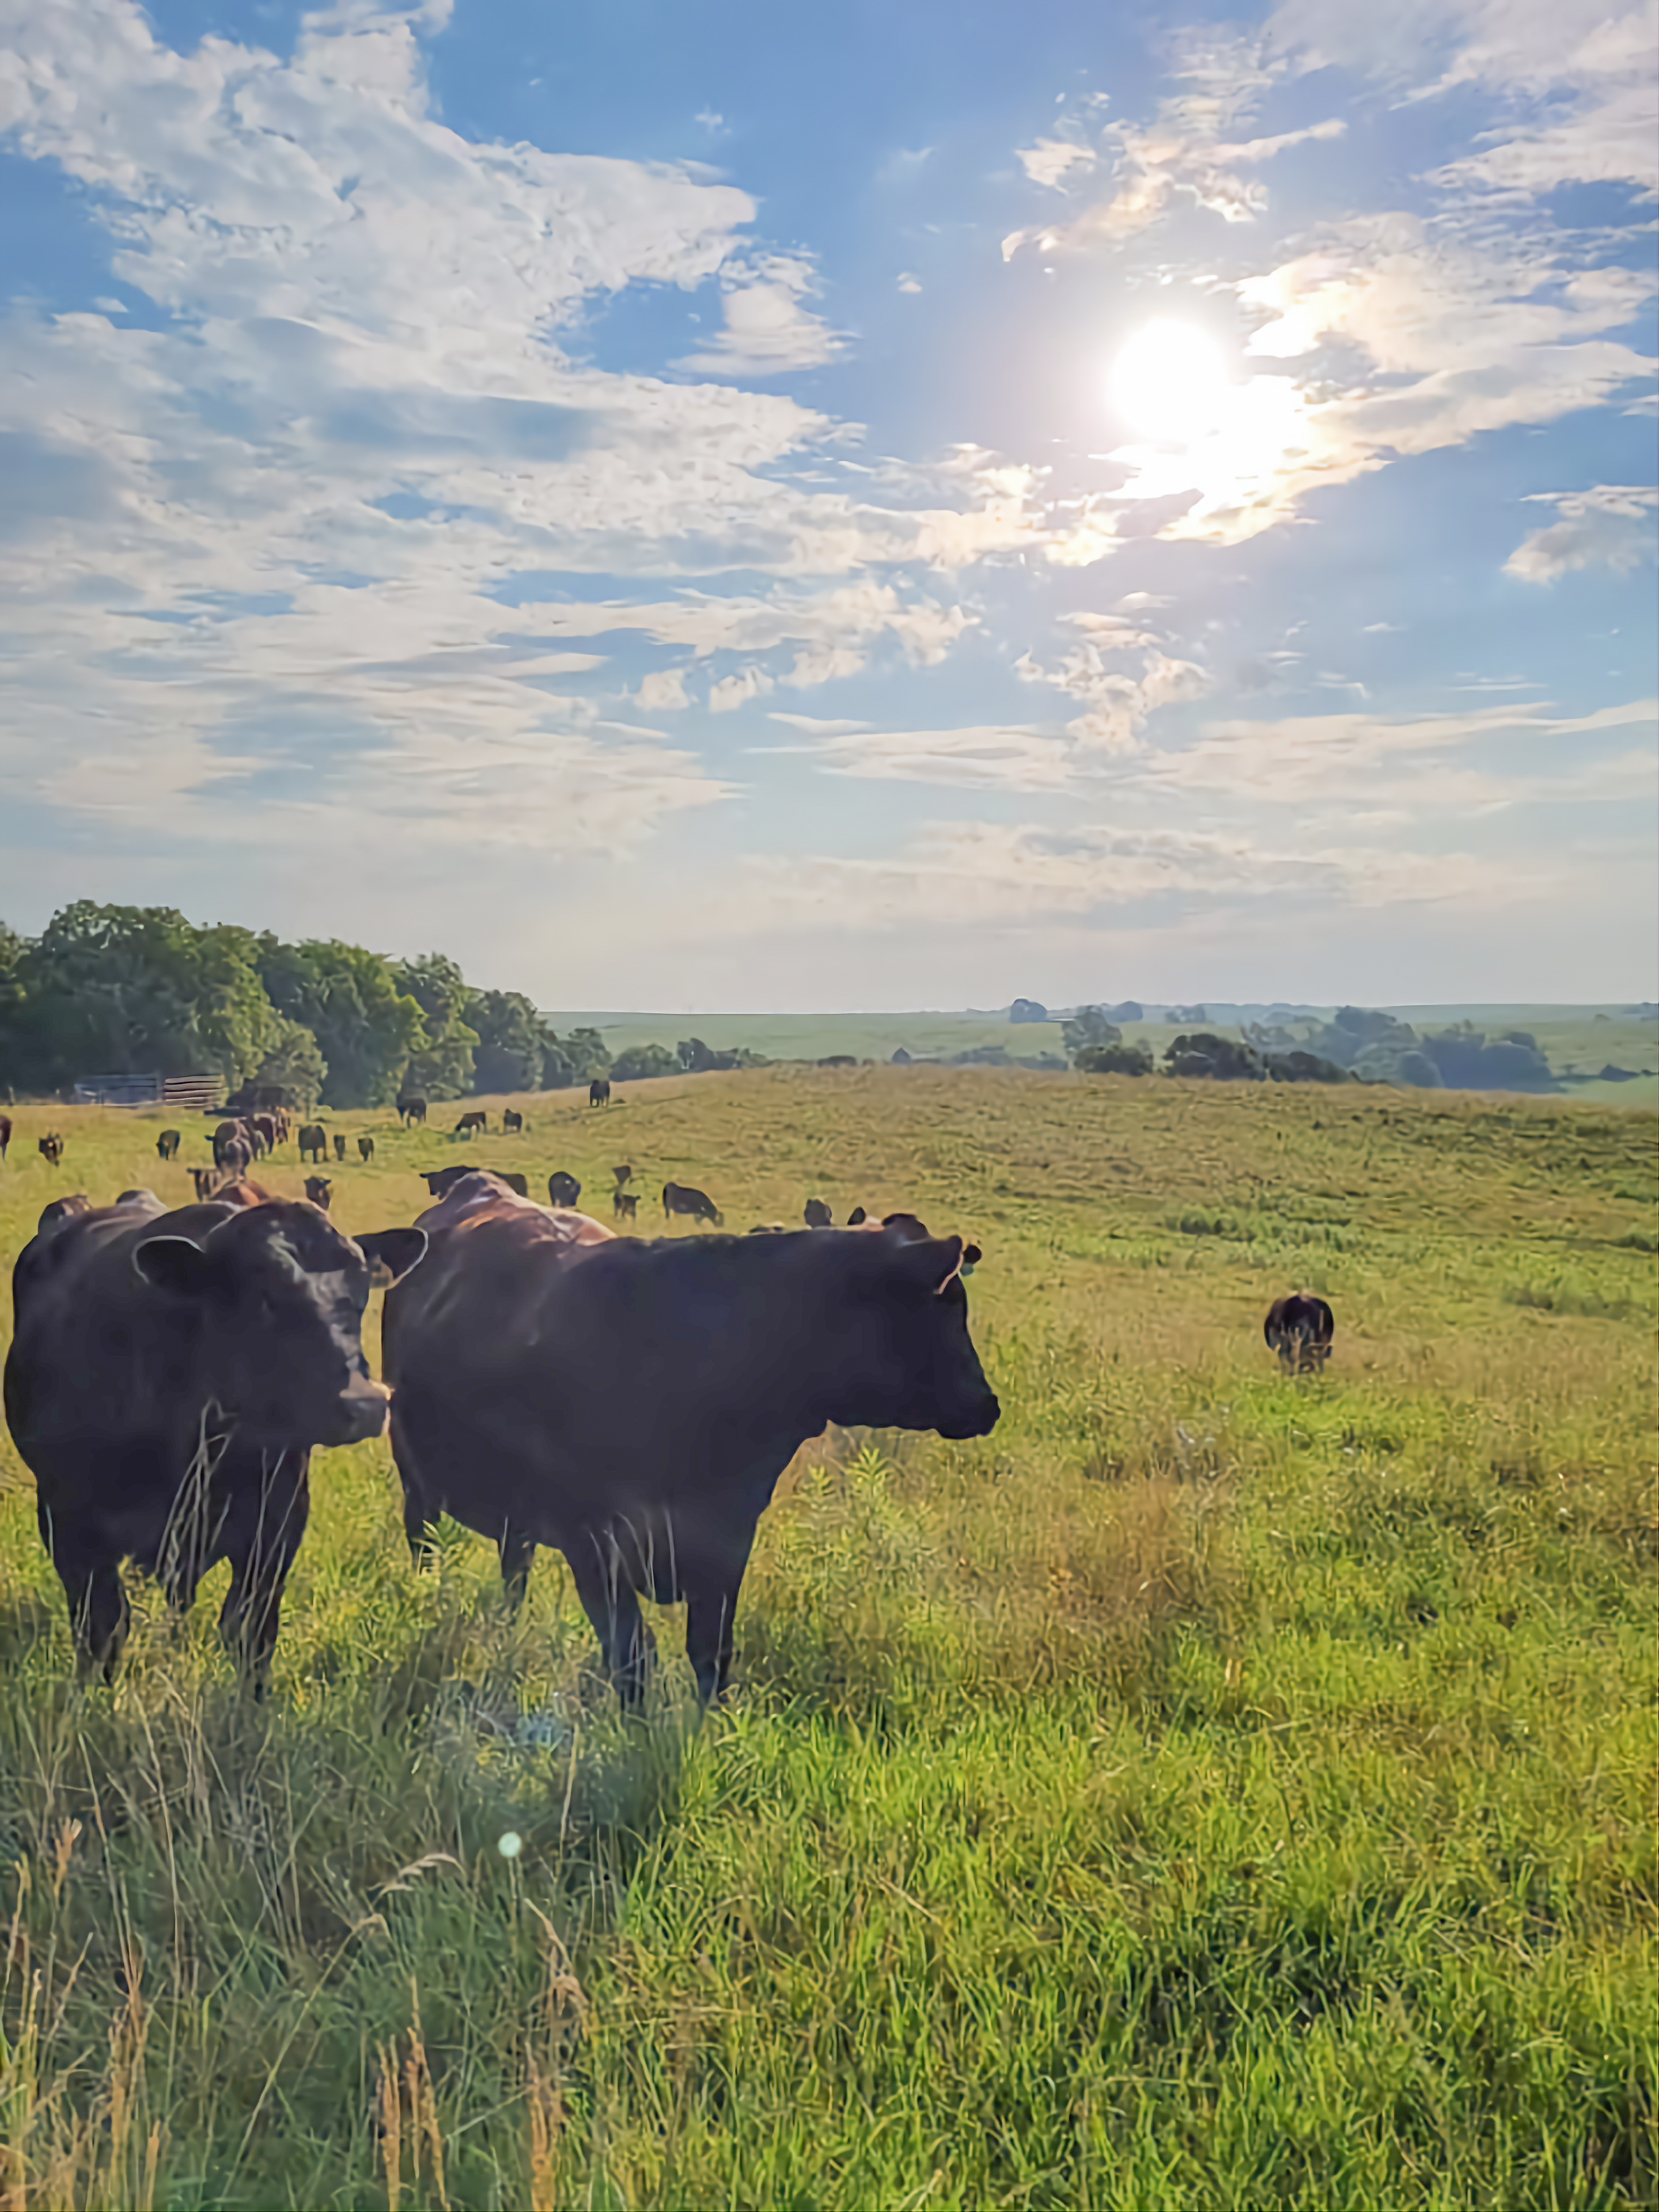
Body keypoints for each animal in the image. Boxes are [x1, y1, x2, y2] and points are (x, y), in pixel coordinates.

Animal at [8, 1194, 422, 1690]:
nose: (364, 1402)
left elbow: (251, 1632)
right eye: (264, 1297)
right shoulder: (68, 1523)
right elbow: (103, 1629)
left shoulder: (276, 1529)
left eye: (362, 1291)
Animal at [380, 1185, 999, 1699]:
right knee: (426, 1546)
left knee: (515, 1570)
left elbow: (711, 1656)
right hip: (417, 1480)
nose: (988, 1404)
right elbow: (632, 1658)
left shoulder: (726, 1539)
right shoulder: (592, 1543)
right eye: (946, 1309)